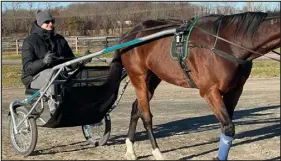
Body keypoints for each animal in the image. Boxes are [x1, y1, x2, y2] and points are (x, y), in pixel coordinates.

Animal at [112, 11, 278, 160]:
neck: (229, 44)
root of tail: (129, 35)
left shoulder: (235, 91)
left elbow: (226, 127)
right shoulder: (209, 91)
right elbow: (228, 127)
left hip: (152, 79)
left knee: (136, 109)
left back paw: (130, 150)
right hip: (138, 77)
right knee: (146, 116)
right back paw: (157, 153)